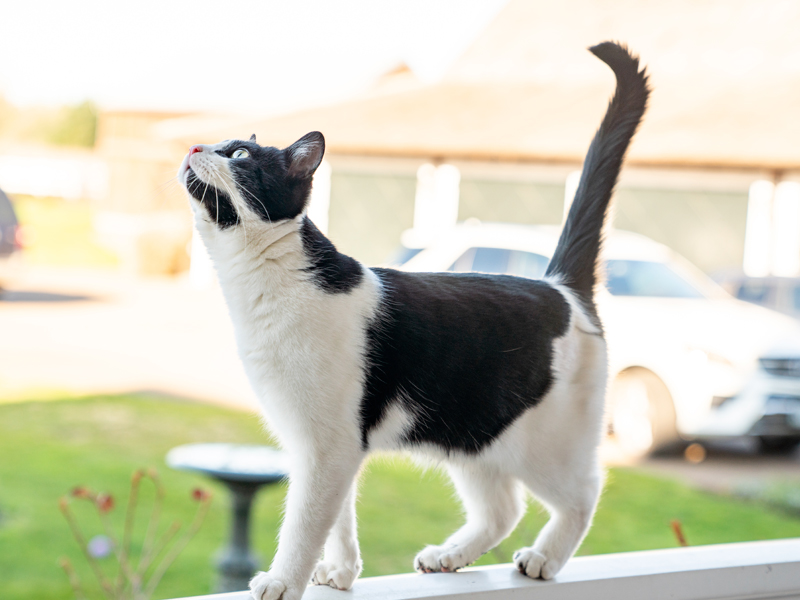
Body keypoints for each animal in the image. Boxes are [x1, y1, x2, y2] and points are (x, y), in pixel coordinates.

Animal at [178, 42, 648, 600]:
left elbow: (306, 522)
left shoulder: (326, 446)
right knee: (503, 509)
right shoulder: (322, 443)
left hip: (549, 445)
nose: (192, 145)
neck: (263, 287)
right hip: (474, 435)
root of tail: (561, 286)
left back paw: (544, 558)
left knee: (584, 494)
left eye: (241, 156)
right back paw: (450, 556)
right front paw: (341, 573)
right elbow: (337, 518)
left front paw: (282, 581)